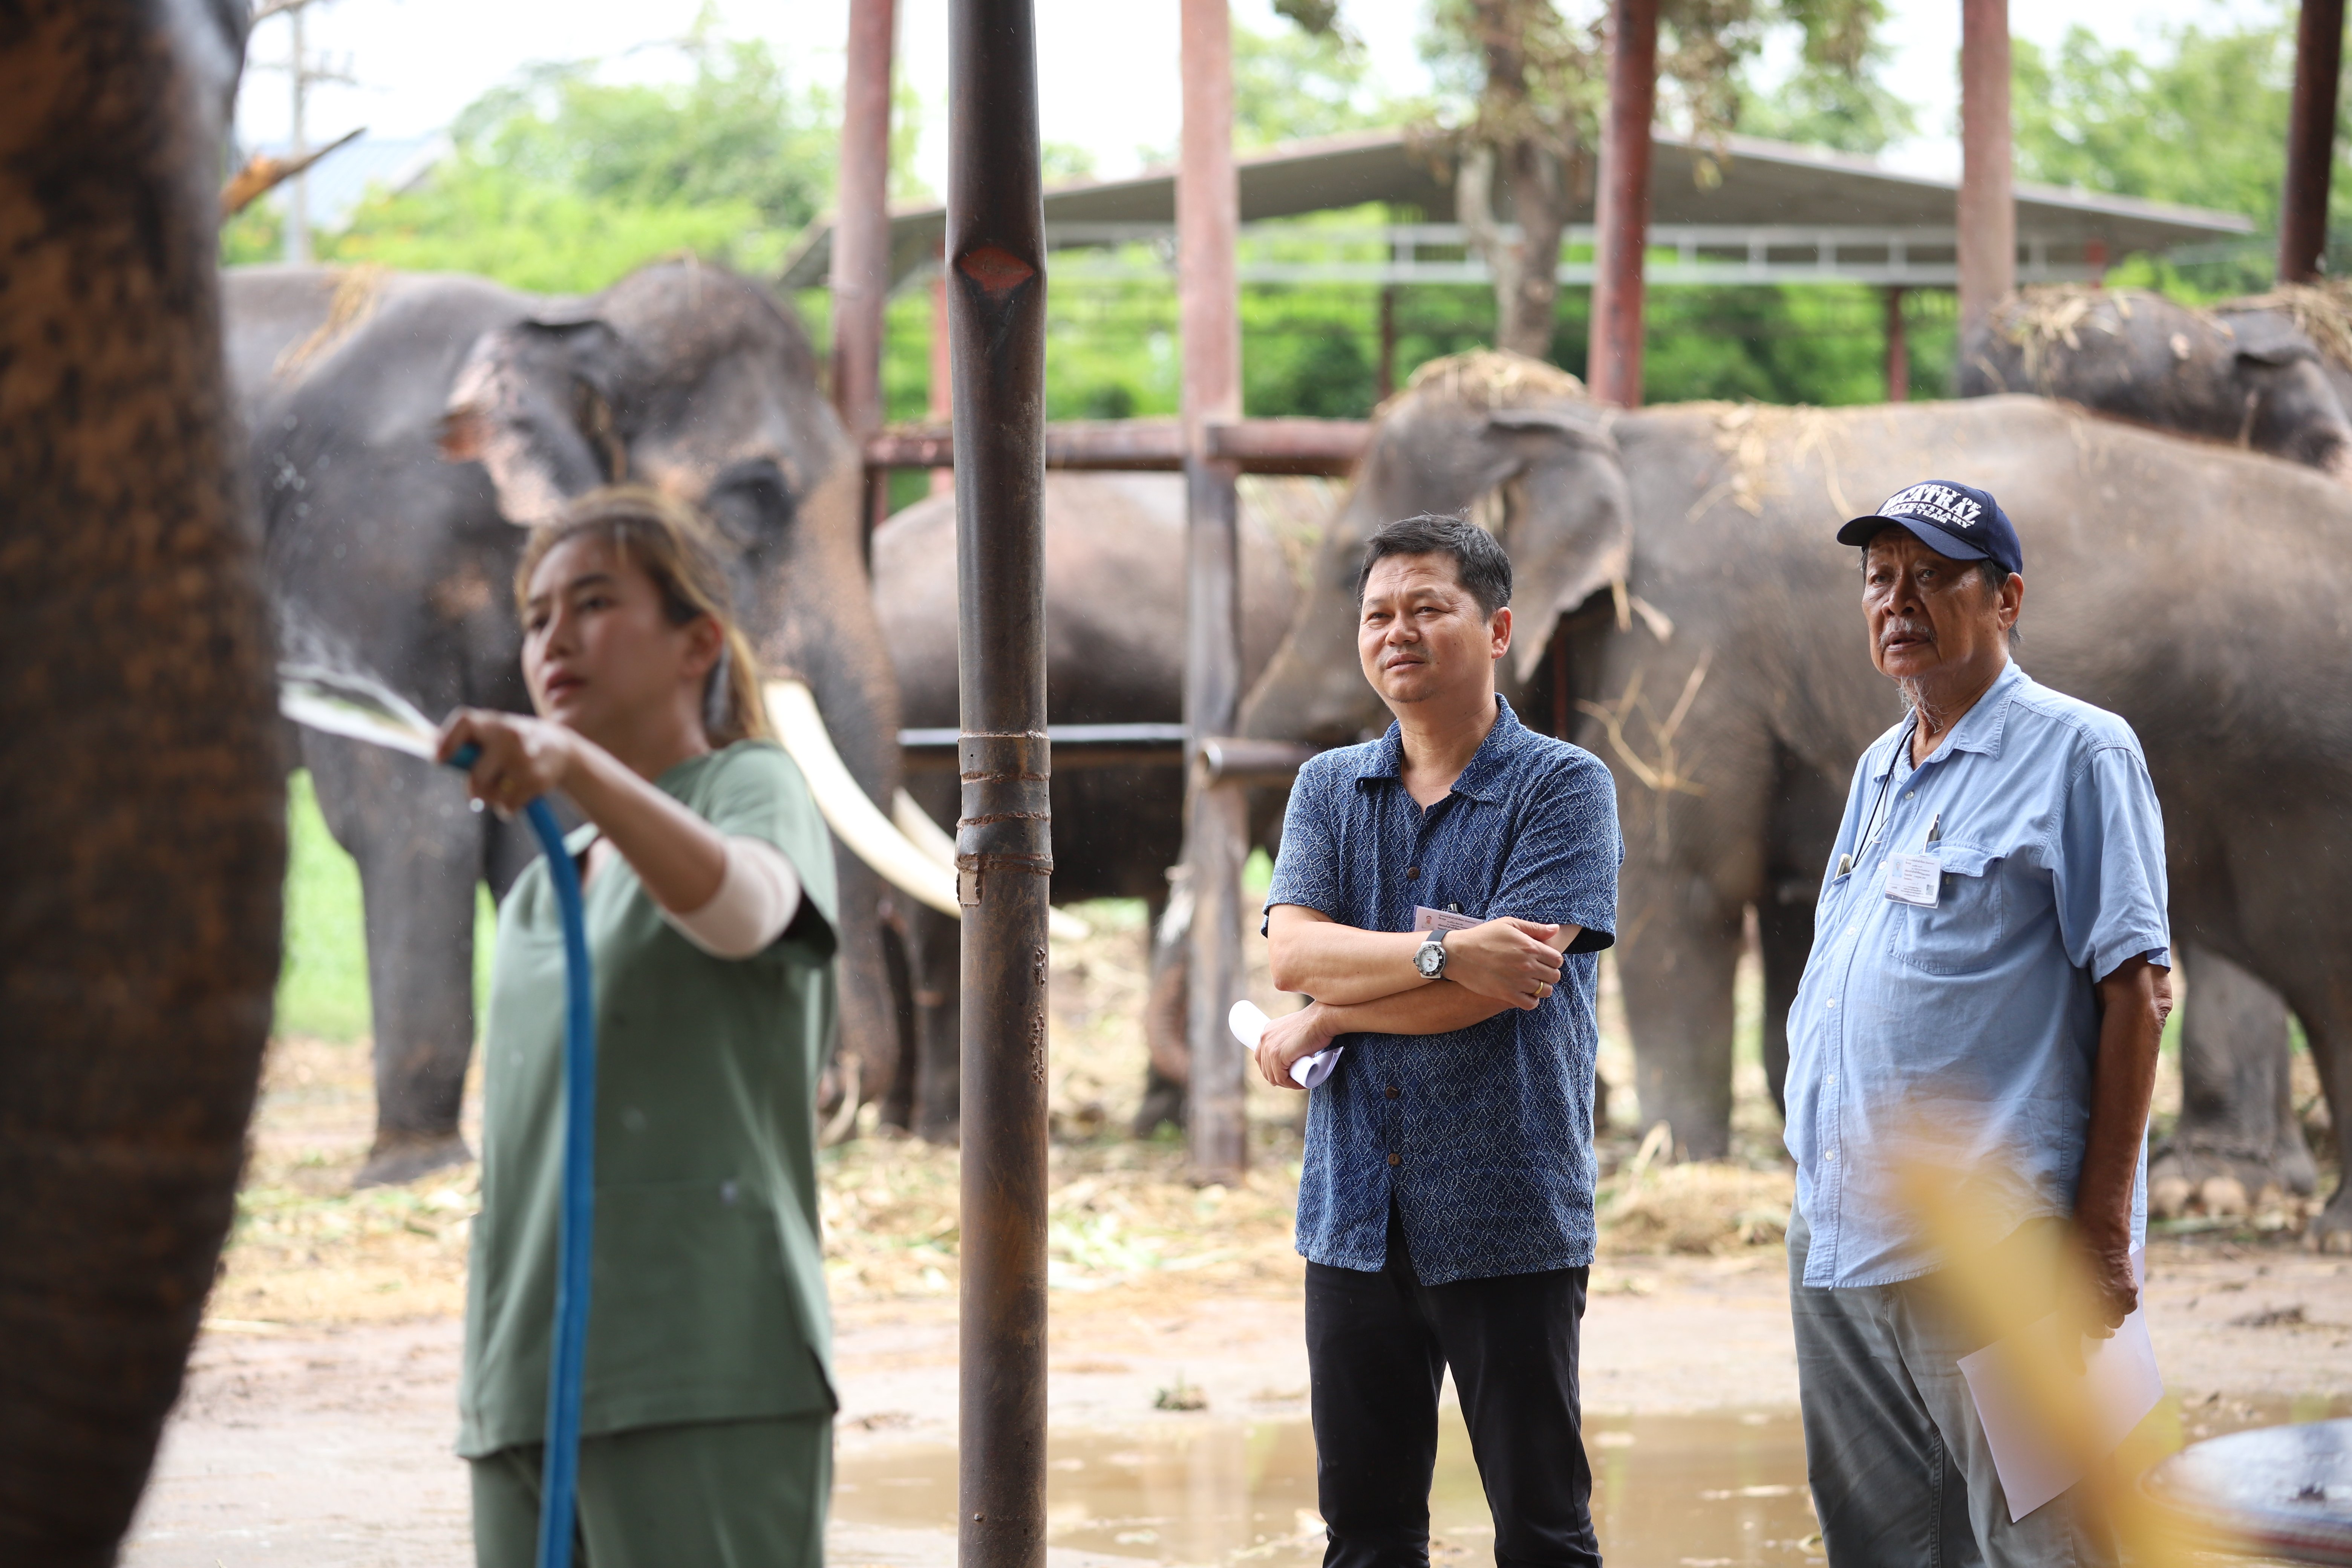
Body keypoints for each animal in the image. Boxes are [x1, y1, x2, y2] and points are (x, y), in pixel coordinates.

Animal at [229, 261, 936, 1175]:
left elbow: (549, 822)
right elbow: (409, 816)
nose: (838, 1101)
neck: (566, 325)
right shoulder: (364, 553)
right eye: (754, 496)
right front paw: (419, 1165)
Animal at [1260, 360, 2352, 1251]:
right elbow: (1793, 916)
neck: (1602, 428)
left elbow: (1680, 895)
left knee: (2322, 968)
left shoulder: (1685, 652)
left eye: (1347, 573)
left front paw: (1681, 1158)